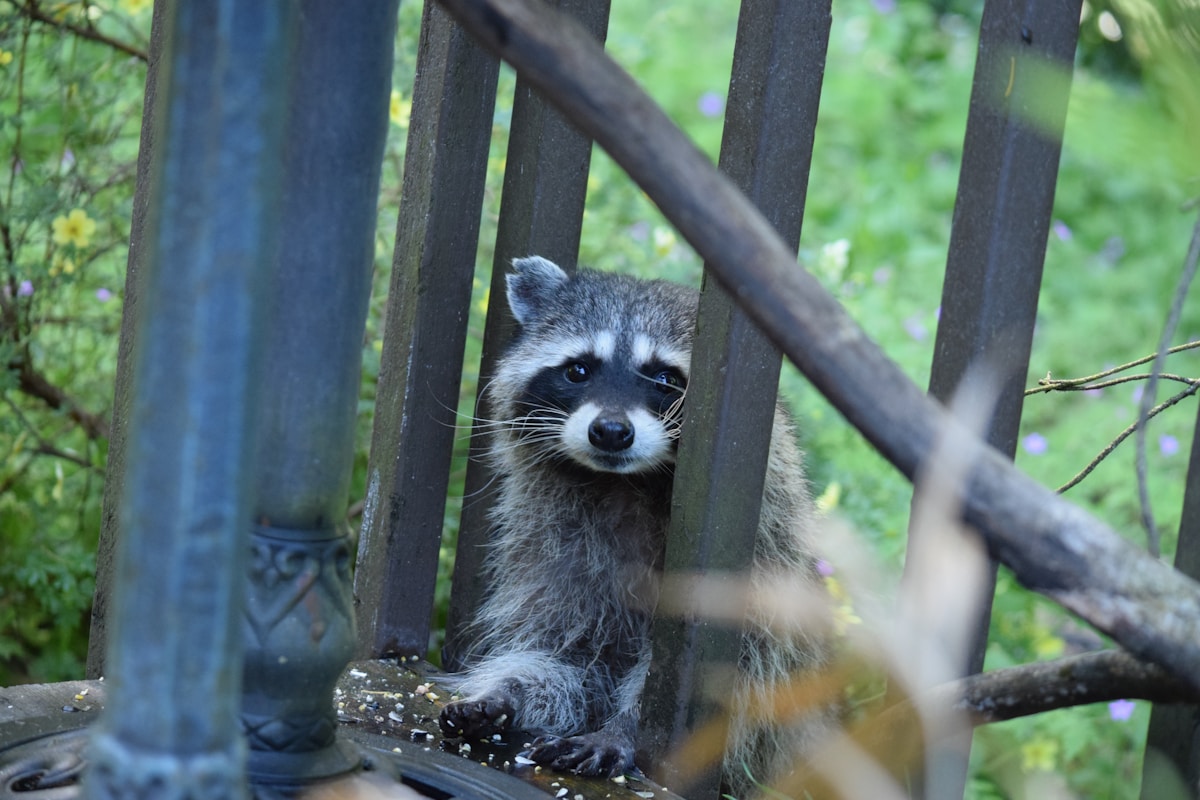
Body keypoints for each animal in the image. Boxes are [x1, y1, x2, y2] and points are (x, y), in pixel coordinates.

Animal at [439, 256, 830, 796]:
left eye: (665, 378)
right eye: (578, 369)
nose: (610, 432)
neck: (623, 483)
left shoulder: (759, 574)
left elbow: (729, 679)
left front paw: (621, 730)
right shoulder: (558, 550)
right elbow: (570, 656)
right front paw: (507, 690)